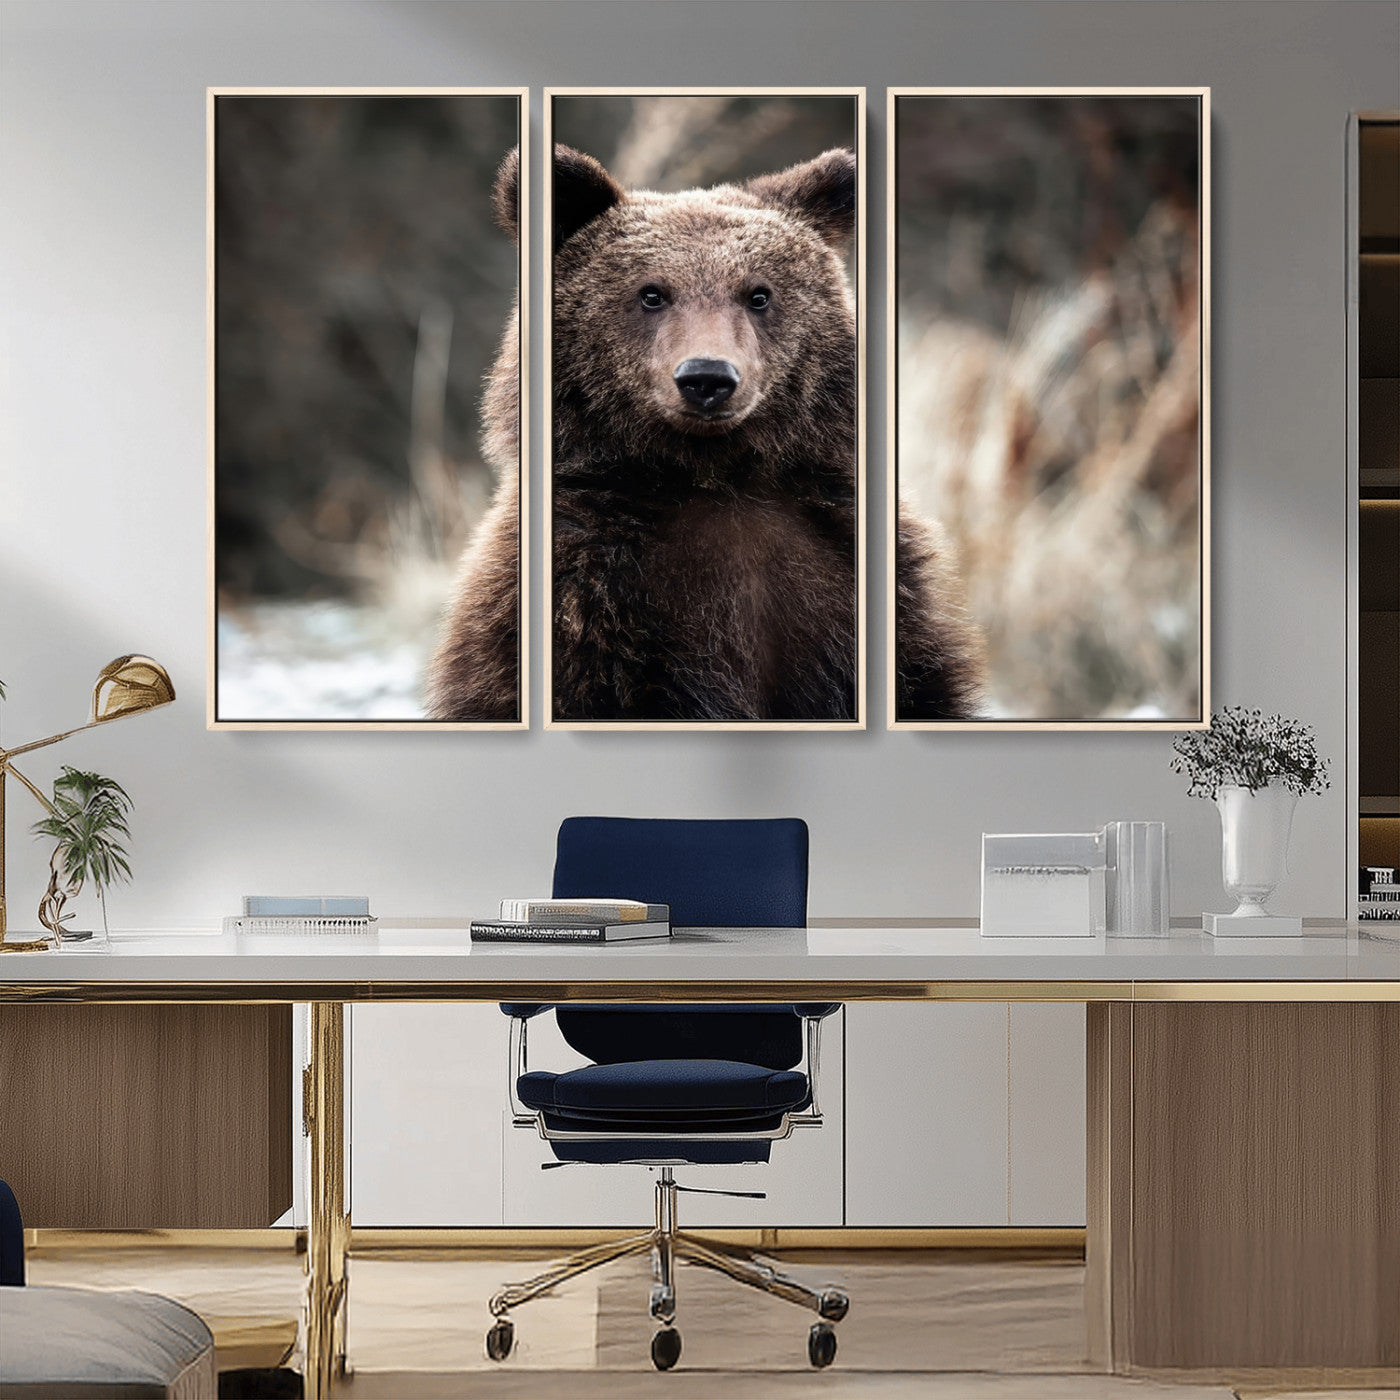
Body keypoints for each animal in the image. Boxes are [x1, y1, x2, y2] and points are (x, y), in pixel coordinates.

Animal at [426, 144, 983, 723]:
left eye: (758, 294)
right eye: (651, 293)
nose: (707, 378)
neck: (715, 474)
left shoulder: (849, 573)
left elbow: (921, 682)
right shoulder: (586, 598)